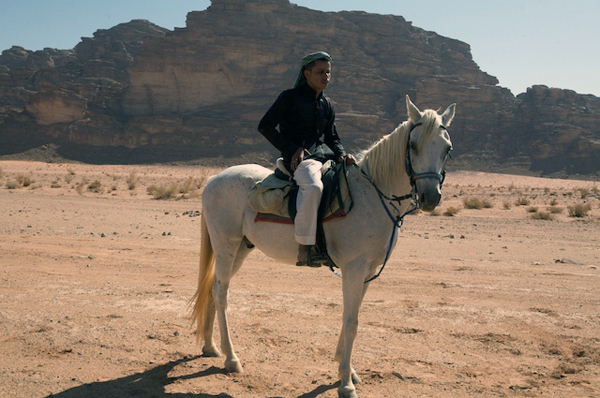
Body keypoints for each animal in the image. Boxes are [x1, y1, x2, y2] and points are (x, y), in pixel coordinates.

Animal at [192, 96, 454, 398]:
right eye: (413, 145)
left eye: (447, 149)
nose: (430, 197)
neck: (372, 192)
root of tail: (213, 180)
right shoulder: (353, 269)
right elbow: (351, 323)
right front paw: (346, 383)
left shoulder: (366, 272)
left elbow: (351, 316)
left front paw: (347, 369)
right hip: (226, 246)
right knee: (222, 294)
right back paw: (232, 359)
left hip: (241, 250)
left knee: (213, 288)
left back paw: (210, 347)